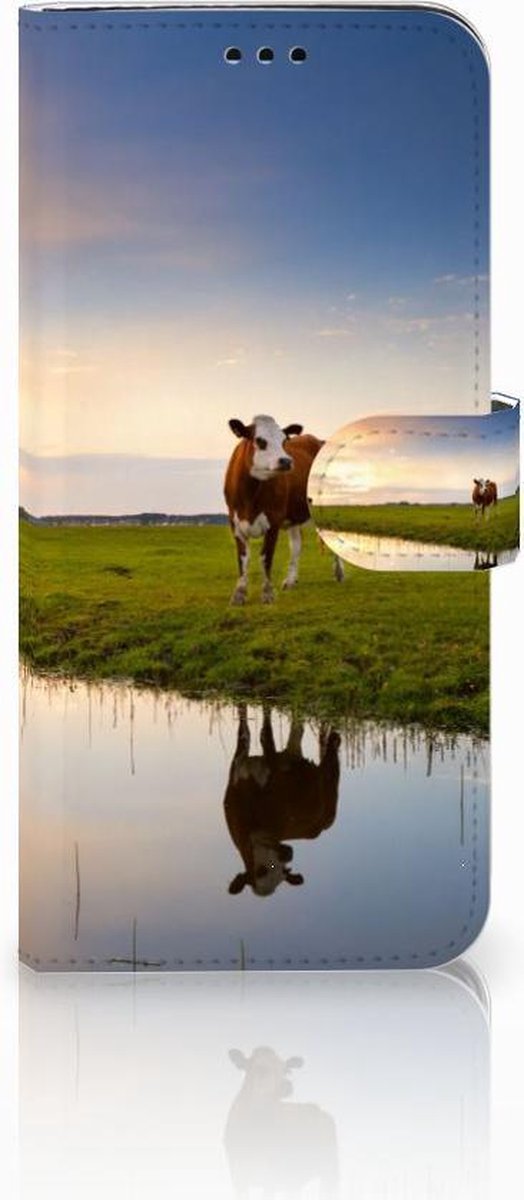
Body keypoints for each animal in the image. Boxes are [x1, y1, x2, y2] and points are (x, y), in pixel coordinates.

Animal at [224, 414, 344, 605]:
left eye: (284, 441)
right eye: (260, 440)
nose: (286, 461)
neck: (250, 496)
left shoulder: (274, 521)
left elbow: (266, 557)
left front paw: (267, 593)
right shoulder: (235, 522)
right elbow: (243, 559)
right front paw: (239, 594)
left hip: (326, 506)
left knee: (331, 538)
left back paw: (339, 572)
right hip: (293, 517)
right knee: (296, 545)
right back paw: (290, 580)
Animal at [224, 705, 341, 897]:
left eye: (283, 872)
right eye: (261, 871)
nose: (288, 854)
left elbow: (265, 735)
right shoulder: (237, 766)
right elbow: (245, 730)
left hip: (330, 792)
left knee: (331, 760)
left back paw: (334, 739)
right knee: (297, 732)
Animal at [224, 1046, 339, 1198]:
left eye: (286, 1070)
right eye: (261, 1068)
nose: (286, 1085)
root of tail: (317, 1107)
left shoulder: (271, 1177)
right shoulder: (238, 1176)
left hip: (330, 1171)